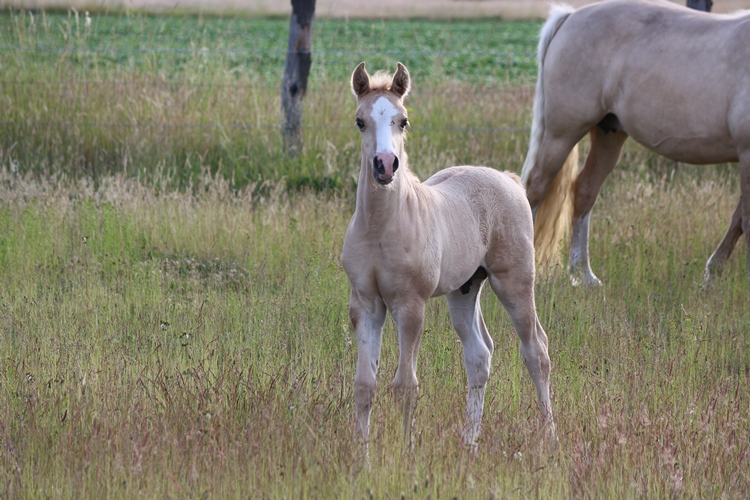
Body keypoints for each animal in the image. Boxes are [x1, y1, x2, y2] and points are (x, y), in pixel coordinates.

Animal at [344, 62, 556, 454]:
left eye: (403, 120)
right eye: (360, 121)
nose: (385, 165)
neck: (381, 228)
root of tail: (508, 179)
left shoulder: (410, 304)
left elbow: (405, 386)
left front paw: (404, 454)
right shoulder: (365, 304)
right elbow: (364, 385)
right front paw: (360, 456)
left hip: (515, 282)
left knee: (536, 350)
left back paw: (549, 436)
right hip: (465, 290)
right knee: (479, 355)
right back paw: (469, 442)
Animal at [524, 0, 750, 288]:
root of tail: (571, 16)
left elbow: (738, 220)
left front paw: (712, 275)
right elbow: (747, 221)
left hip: (608, 135)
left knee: (584, 191)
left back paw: (584, 276)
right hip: (561, 133)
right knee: (536, 188)